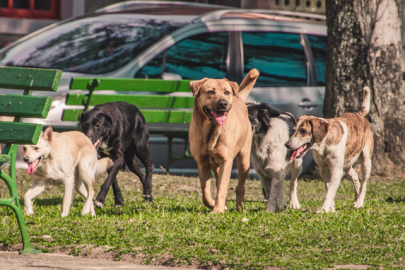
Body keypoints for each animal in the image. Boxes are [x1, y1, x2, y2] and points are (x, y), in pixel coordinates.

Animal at [188, 69, 258, 213]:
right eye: (210, 92)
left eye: (227, 92)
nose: (223, 103)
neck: (211, 131)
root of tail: (238, 98)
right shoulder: (202, 162)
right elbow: (205, 191)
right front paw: (213, 204)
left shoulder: (226, 161)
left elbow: (222, 188)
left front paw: (218, 209)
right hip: (216, 164)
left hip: (243, 160)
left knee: (240, 187)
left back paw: (240, 207)